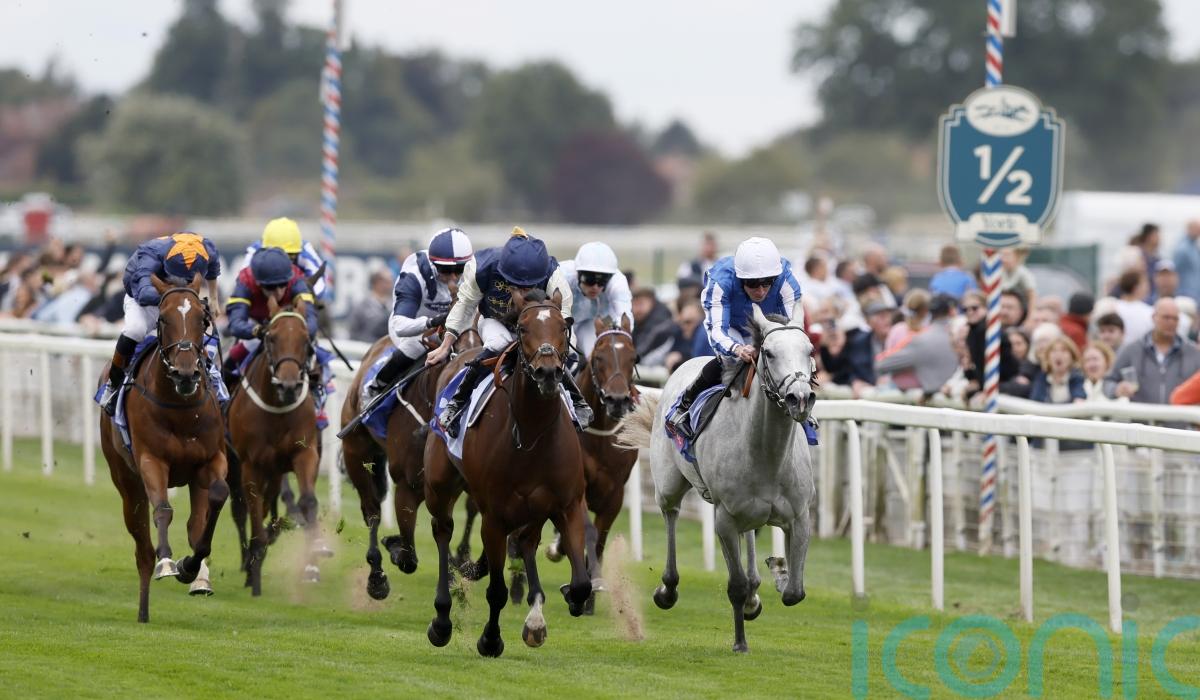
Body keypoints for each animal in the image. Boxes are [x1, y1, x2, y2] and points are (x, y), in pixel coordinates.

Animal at [99, 273, 230, 623]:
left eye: (202, 319)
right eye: (164, 319)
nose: (185, 373)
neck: (180, 408)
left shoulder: (211, 460)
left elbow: (216, 500)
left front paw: (191, 567)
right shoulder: (151, 460)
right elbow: (163, 510)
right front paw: (168, 562)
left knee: (195, 522)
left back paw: (198, 577)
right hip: (125, 480)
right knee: (141, 546)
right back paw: (144, 609)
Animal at [226, 296, 329, 596]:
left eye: (306, 341)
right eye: (271, 337)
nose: (289, 386)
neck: (277, 409)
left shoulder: (304, 452)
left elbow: (307, 500)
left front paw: (314, 554)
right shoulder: (250, 465)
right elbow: (253, 509)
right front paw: (255, 571)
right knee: (241, 509)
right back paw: (249, 562)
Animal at [339, 324, 480, 600]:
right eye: (455, 347)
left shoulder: (449, 486)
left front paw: (454, 569)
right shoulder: (407, 484)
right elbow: (407, 557)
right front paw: (393, 546)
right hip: (356, 452)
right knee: (372, 511)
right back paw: (376, 577)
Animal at [424, 288, 591, 657]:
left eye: (564, 326)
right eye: (523, 328)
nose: (547, 372)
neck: (531, 433)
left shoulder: (567, 505)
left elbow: (582, 583)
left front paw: (564, 601)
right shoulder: (494, 517)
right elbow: (496, 591)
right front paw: (490, 639)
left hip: (533, 510)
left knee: (527, 542)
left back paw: (535, 614)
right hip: (439, 487)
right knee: (442, 532)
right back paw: (441, 620)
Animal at [618, 304, 815, 653]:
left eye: (810, 351)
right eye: (769, 352)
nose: (800, 397)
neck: (768, 455)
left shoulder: (799, 515)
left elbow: (795, 592)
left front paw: (778, 571)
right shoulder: (724, 517)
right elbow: (736, 585)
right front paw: (740, 643)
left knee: (750, 537)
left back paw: (755, 591)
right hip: (668, 486)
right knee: (671, 514)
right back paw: (667, 589)